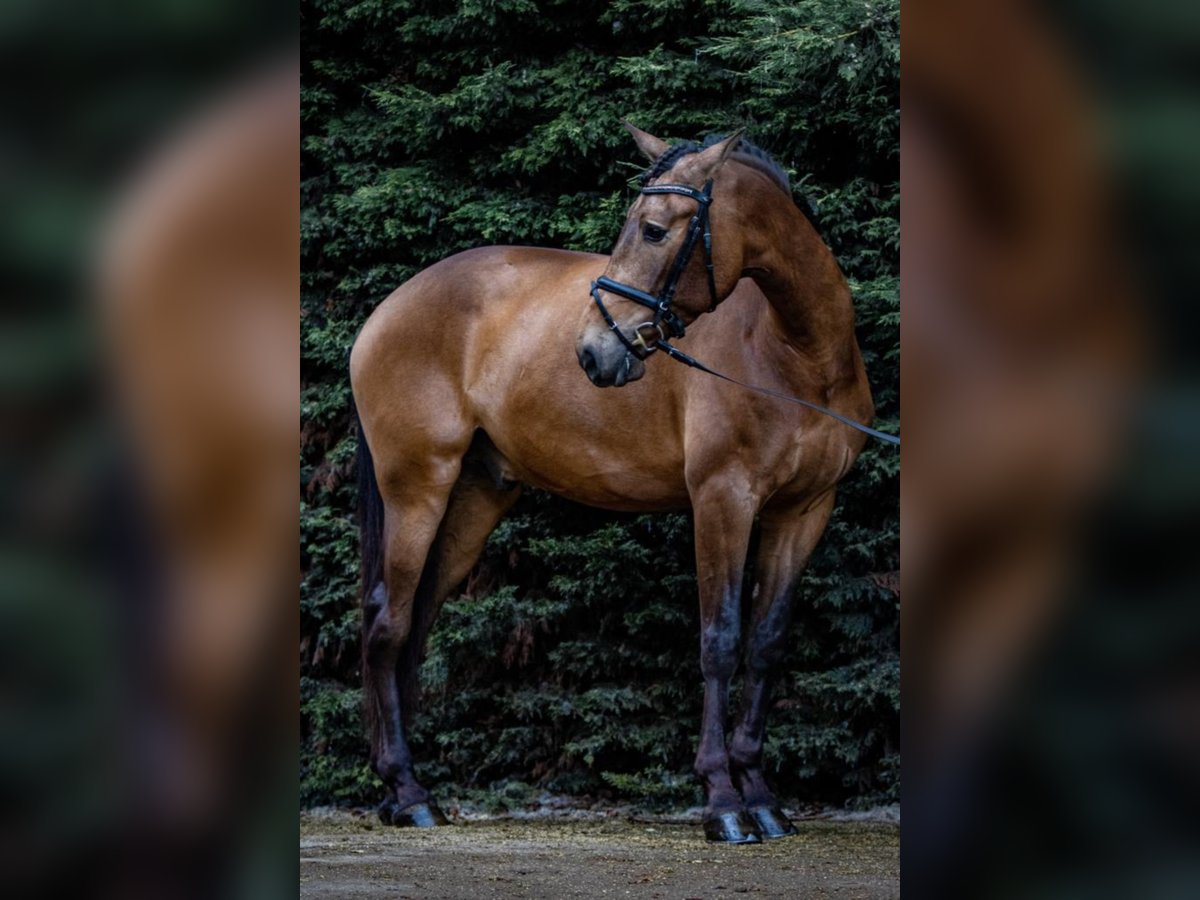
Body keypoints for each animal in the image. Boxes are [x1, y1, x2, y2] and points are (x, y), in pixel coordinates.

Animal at [350, 125, 878, 844]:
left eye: (654, 230)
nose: (593, 353)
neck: (794, 352)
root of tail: (385, 311)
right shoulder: (723, 500)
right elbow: (719, 641)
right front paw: (723, 800)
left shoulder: (804, 512)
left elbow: (766, 645)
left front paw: (763, 797)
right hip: (417, 489)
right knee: (387, 624)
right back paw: (407, 793)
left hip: (474, 499)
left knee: (416, 621)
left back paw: (402, 789)